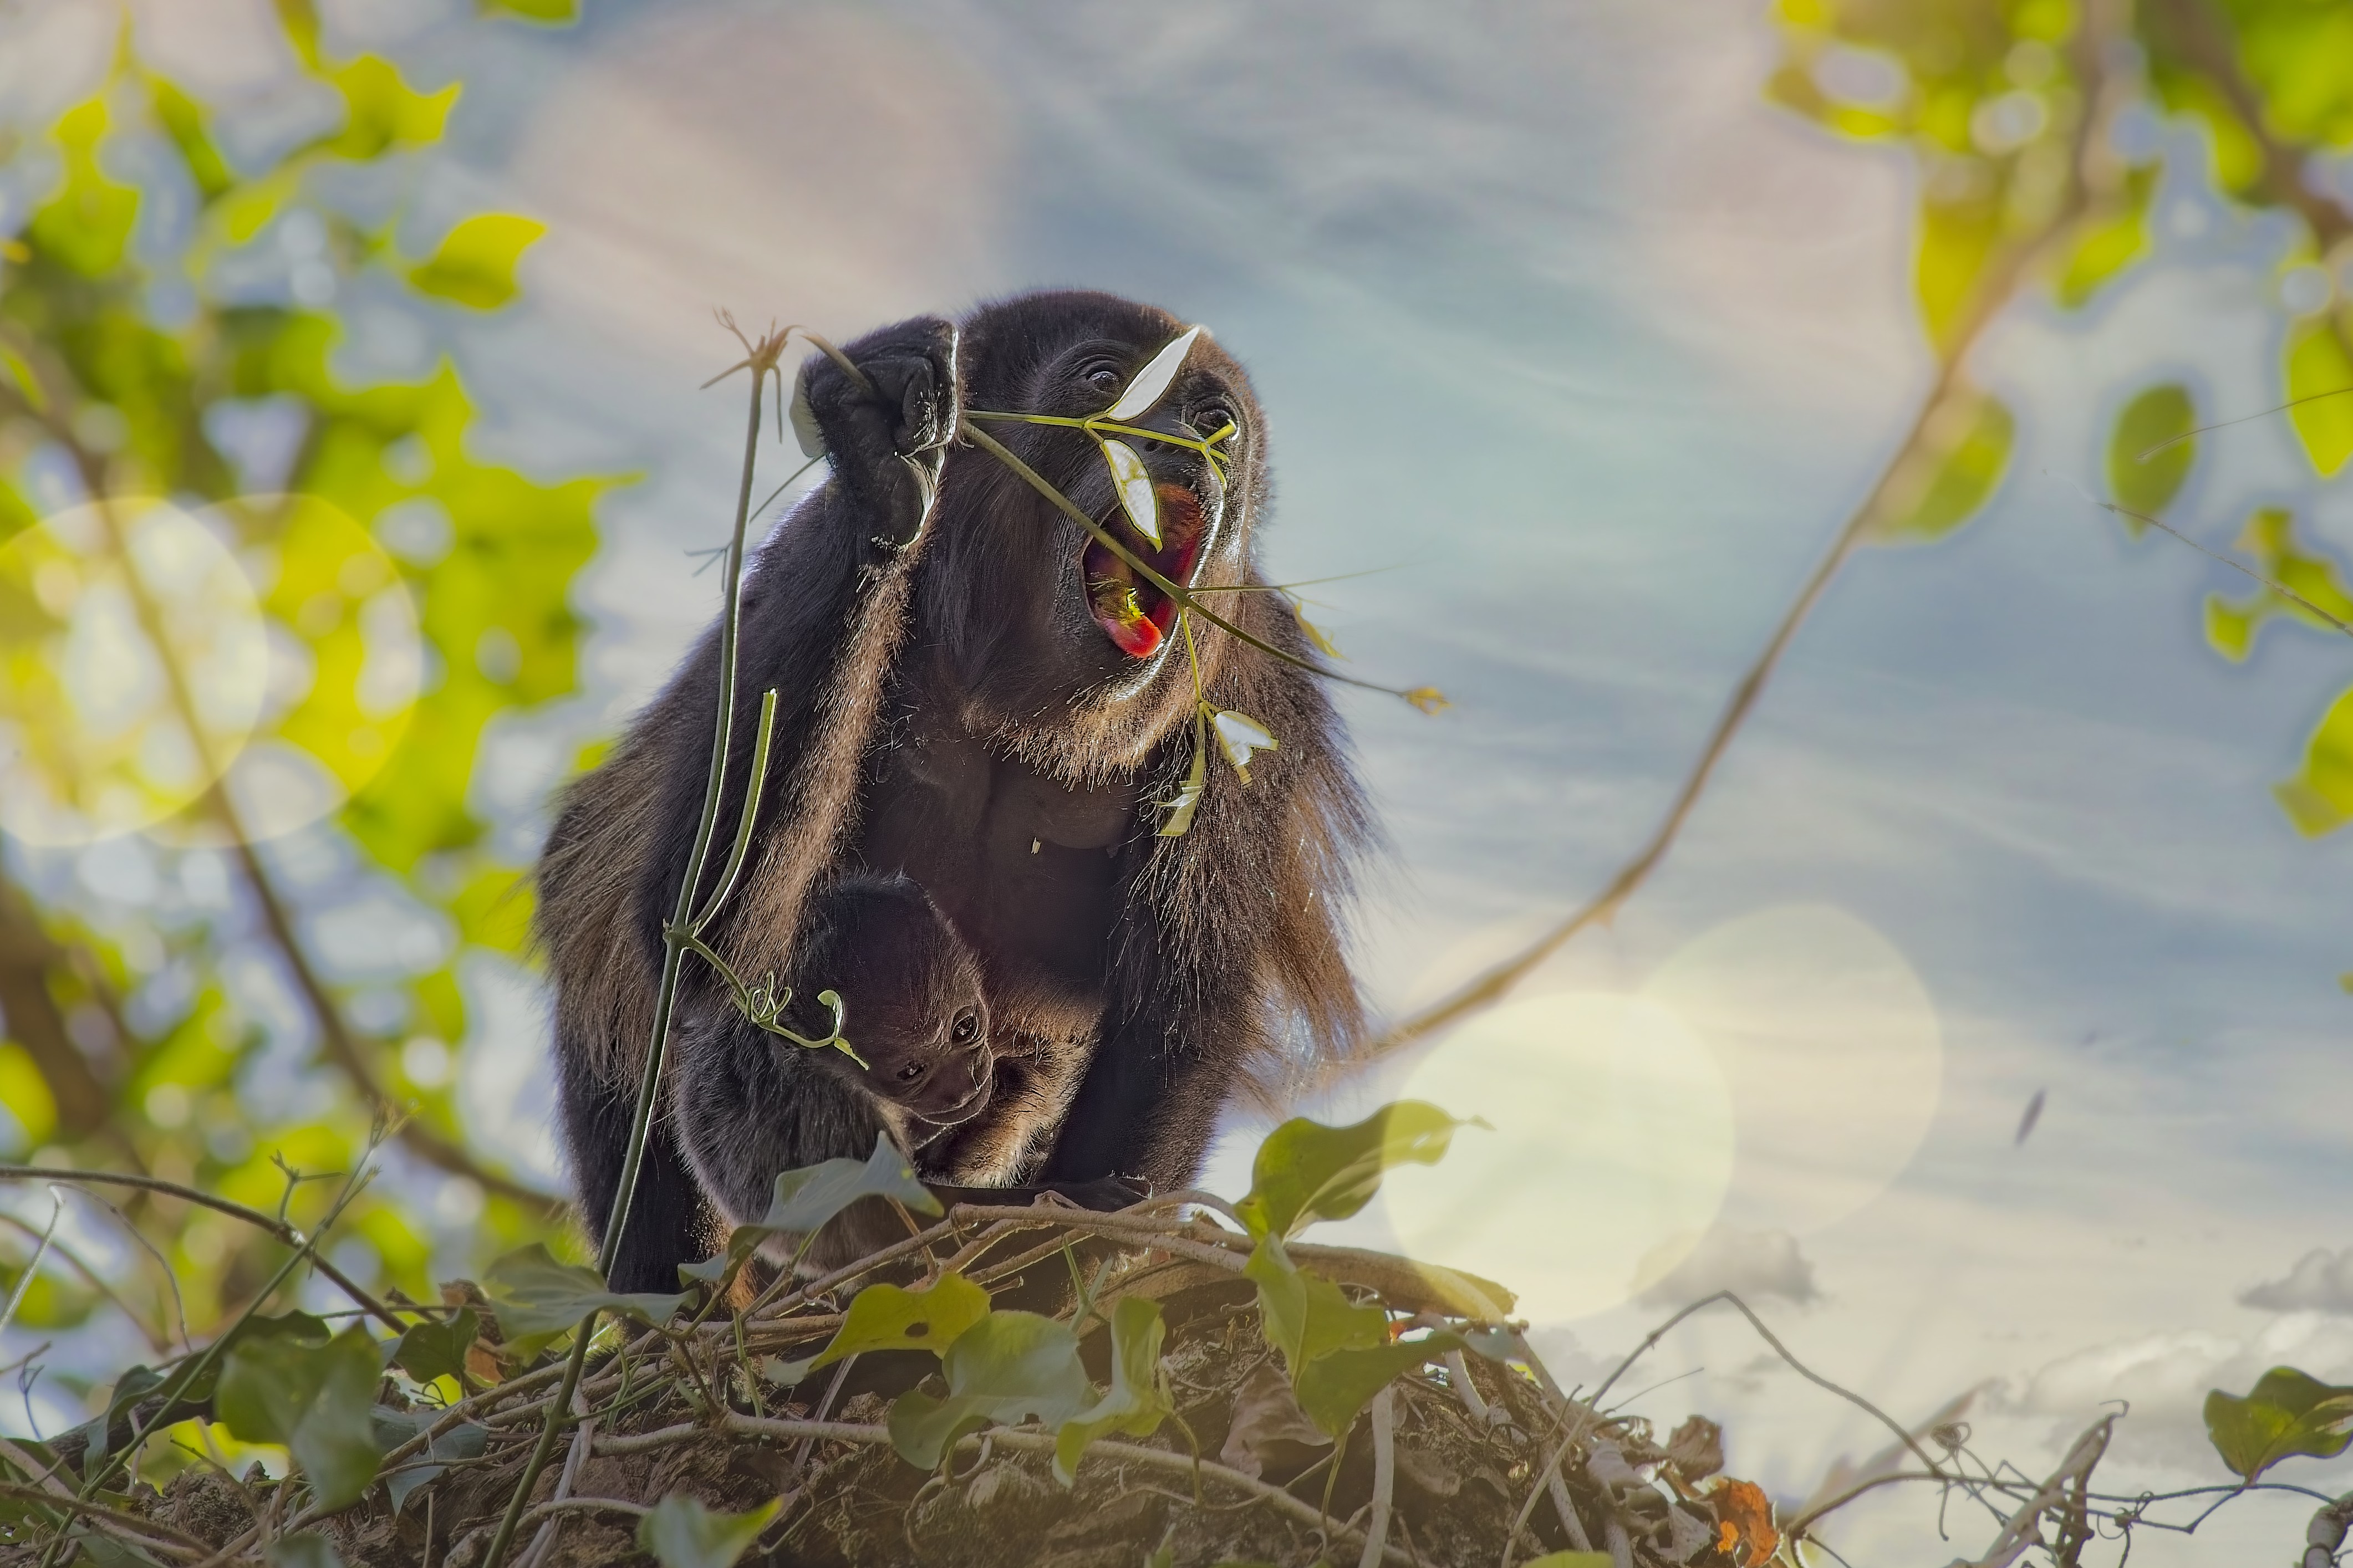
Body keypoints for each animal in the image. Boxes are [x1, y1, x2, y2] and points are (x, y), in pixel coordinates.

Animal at [537, 292, 1371, 1293]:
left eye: (1218, 423)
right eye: (1106, 381)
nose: (1180, 443)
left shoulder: (1252, 691)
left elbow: (1175, 1022)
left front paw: (1062, 1263)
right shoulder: (801, 552)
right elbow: (707, 942)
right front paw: (882, 457)